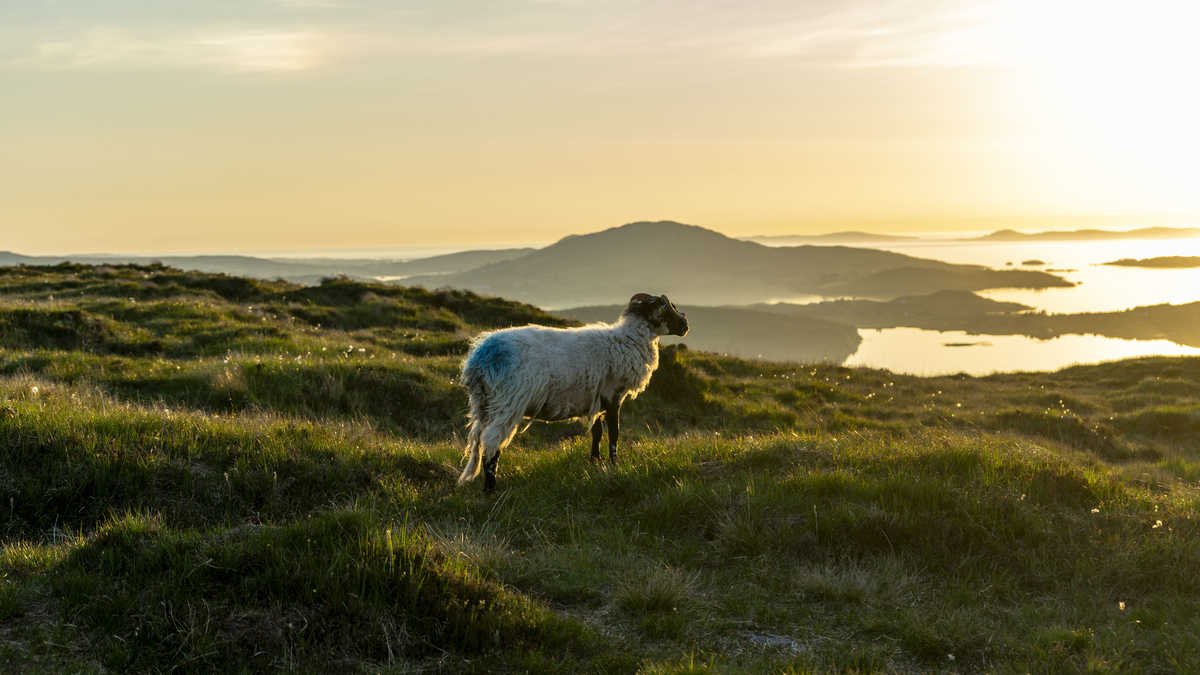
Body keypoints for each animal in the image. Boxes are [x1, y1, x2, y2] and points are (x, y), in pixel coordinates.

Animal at [457, 293, 689, 491]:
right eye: (665, 308)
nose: (686, 325)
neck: (629, 339)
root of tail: (479, 360)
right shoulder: (613, 396)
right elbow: (614, 433)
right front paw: (614, 464)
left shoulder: (595, 400)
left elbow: (597, 433)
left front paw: (595, 462)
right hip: (507, 402)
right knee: (491, 443)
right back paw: (490, 488)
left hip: (484, 405)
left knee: (479, 440)